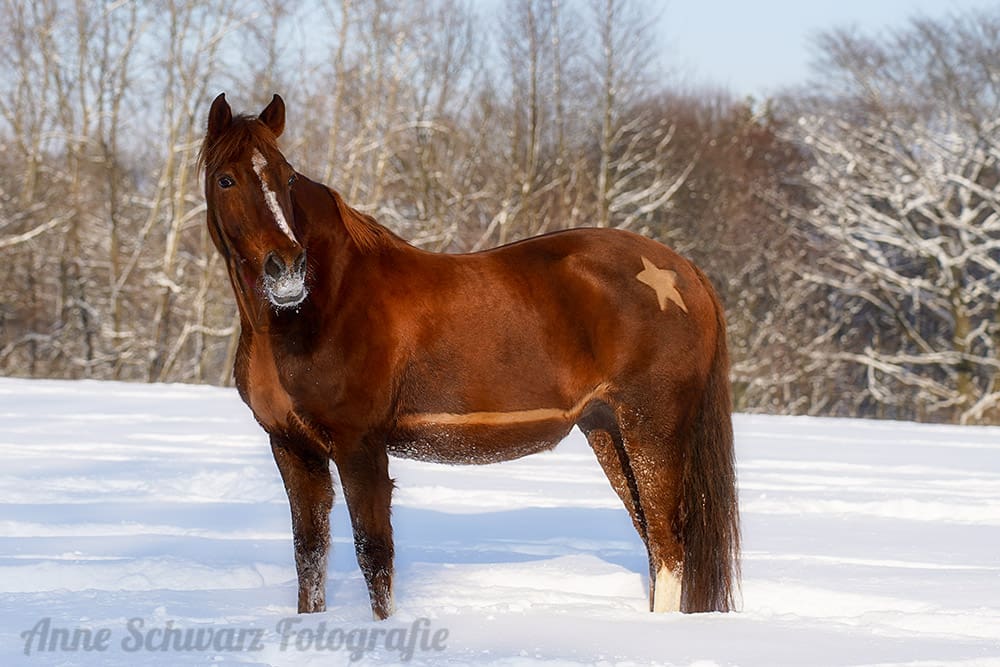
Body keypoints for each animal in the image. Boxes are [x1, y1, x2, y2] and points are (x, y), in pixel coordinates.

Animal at [199, 93, 740, 620]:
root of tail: (682, 271)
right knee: (652, 540)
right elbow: (309, 555)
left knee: (668, 546)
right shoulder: (293, 448)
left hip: (652, 431)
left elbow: (375, 556)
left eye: (287, 176)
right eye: (226, 179)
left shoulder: (359, 445)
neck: (317, 307)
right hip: (609, 433)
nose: (287, 269)